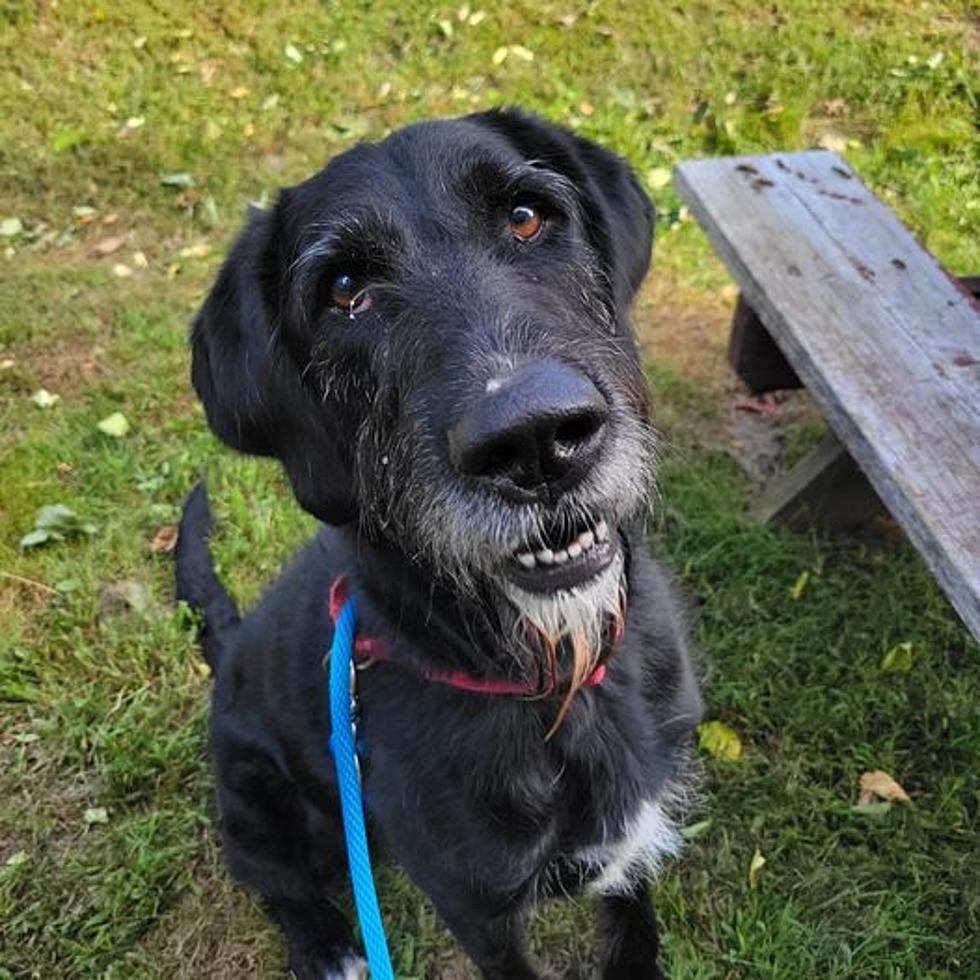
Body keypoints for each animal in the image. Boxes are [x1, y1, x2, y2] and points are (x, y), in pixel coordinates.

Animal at [174, 109, 696, 980]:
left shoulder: (632, 846)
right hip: (253, 807)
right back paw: (324, 946)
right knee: (277, 883)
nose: (535, 440)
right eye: (344, 290)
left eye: (526, 217)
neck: (556, 684)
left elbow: (637, 934)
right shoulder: (478, 907)